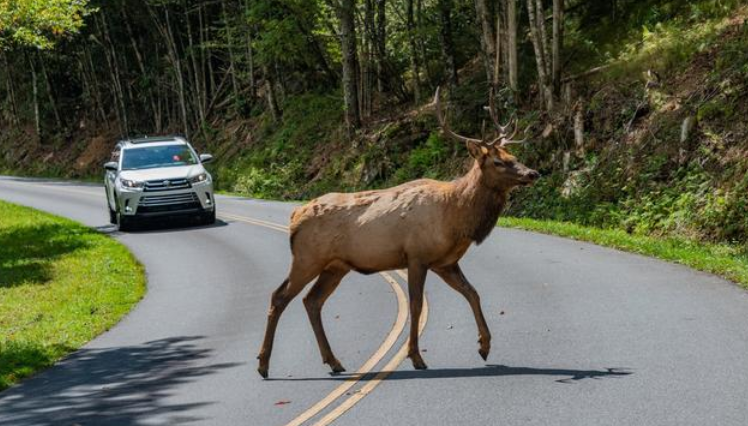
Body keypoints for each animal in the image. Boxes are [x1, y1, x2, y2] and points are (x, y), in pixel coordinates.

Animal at [258, 85, 536, 376]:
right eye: (497, 162)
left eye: (513, 157)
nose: (532, 173)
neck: (455, 219)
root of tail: (294, 216)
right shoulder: (417, 255)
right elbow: (417, 305)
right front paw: (416, 357)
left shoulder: (445, 262)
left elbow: (473, 292)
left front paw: (484, 346)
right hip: (307, 258)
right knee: (279, 296)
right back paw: (264, 364)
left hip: (335, 266)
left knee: (312, 301)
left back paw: (333, 361)